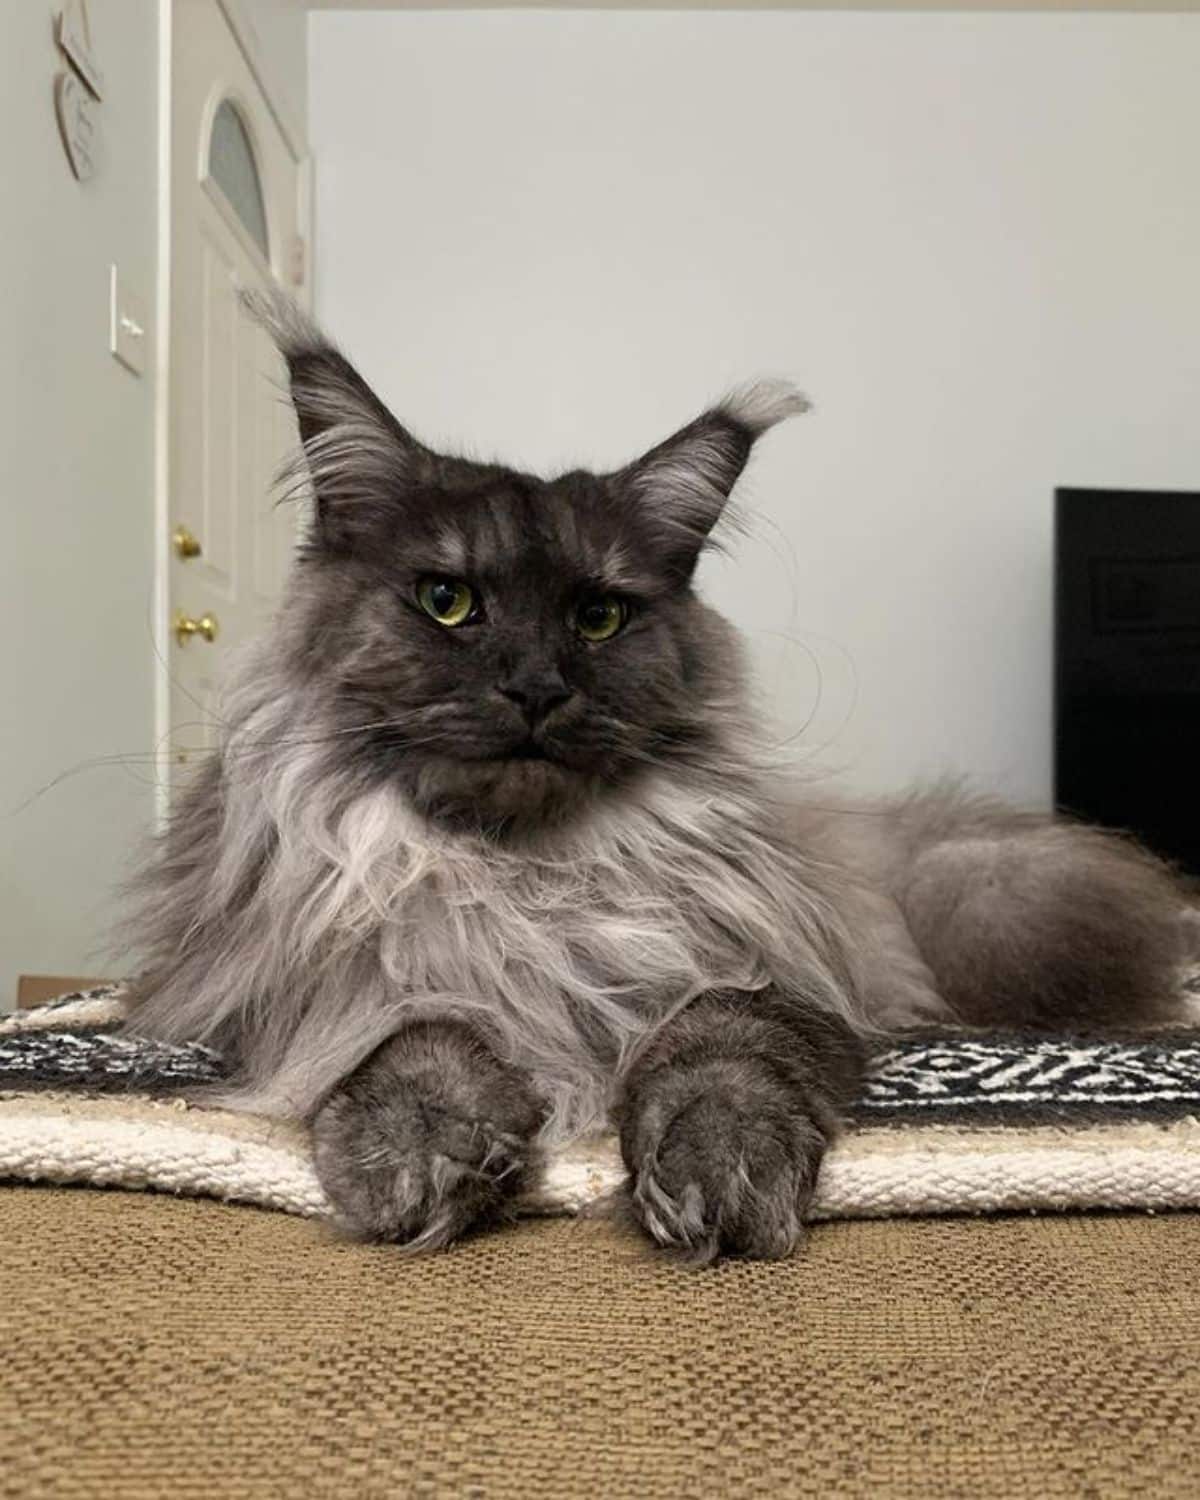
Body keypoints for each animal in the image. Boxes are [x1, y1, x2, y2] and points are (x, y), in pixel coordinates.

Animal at [126, 292, 1194, 1254]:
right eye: (446, 601)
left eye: (599, 618)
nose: (537, 689)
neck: (528, 877)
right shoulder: (299, 987)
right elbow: (410, 1032)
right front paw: (424, 1146)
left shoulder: (780, 970)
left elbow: (723, 1041)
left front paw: (718, 1164)